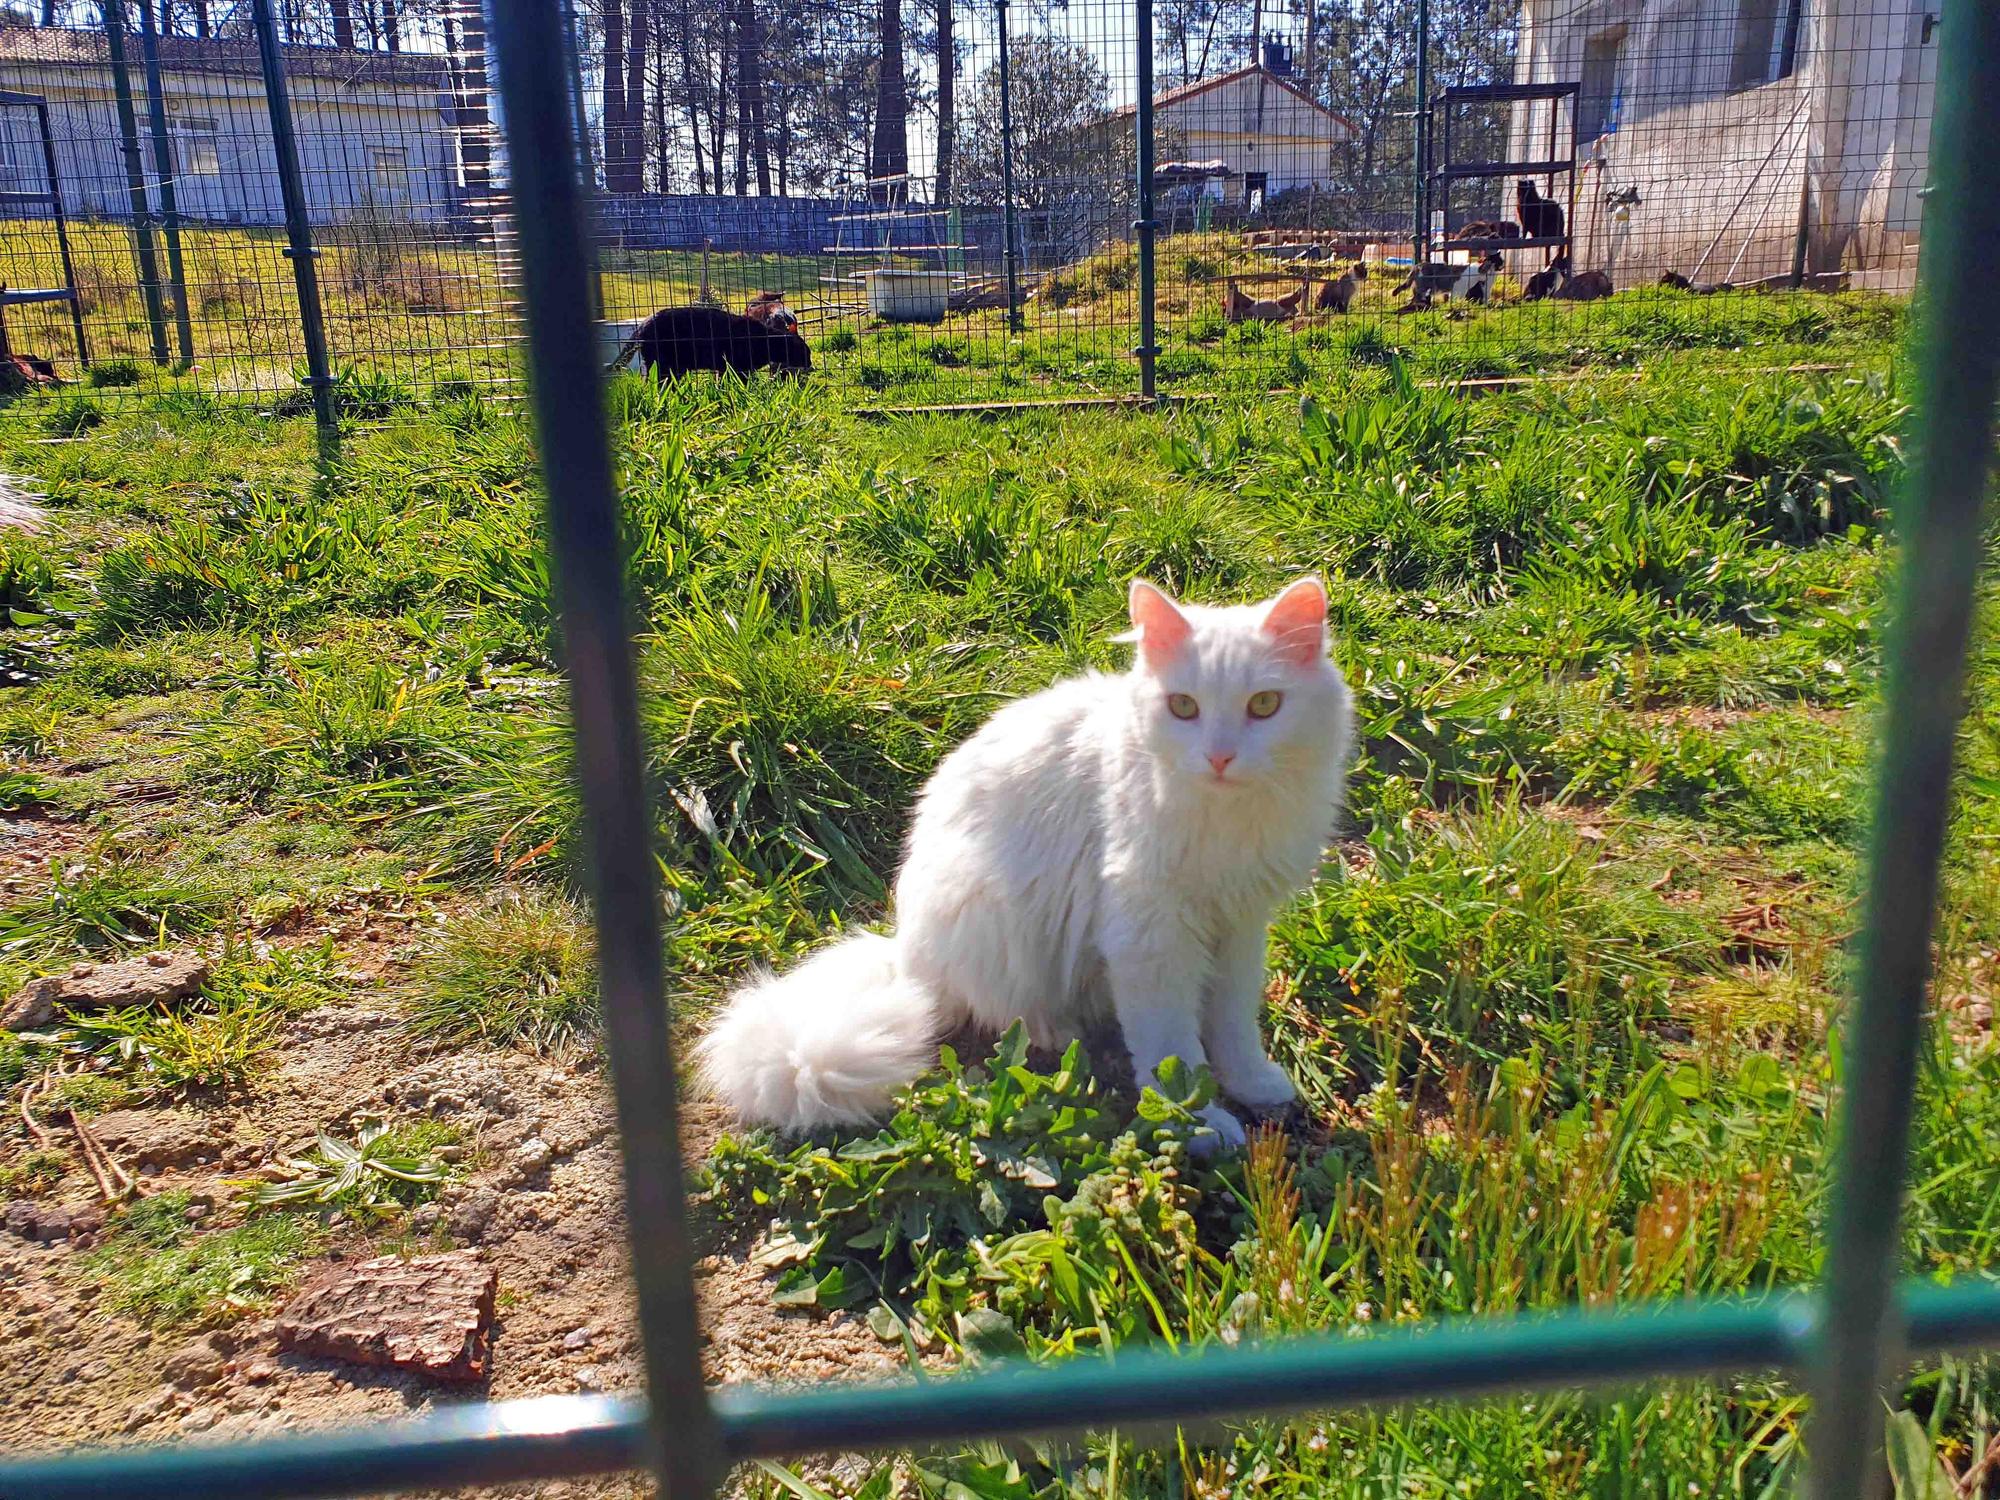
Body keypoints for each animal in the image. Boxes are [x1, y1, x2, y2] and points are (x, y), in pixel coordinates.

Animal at [692, 576, 1360, 1152]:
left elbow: (1232, 1026)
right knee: (1006, 1011)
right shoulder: (1151, 938)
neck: (1227, 820)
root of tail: (904, 952)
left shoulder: (1241, 925)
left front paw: (1255, 1087)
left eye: (1265, 705)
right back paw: (1060, 1033)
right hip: (998, 922)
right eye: (1184, 707)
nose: (1220, 757)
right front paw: (1198, 1125)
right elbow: (1173, 1053)